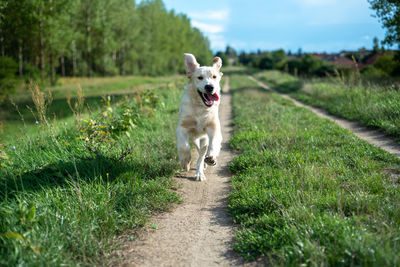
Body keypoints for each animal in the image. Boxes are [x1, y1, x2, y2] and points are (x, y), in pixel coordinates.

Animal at [177, 52, 223, 182]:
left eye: (214, 77)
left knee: (202, 154)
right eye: (200, 77)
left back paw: (200, 172)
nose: (209, 87)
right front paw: (185, 161)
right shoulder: (182, 127)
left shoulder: (213, 126)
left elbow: (213, 143)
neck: (200, 108)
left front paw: (211, 157)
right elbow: (184, 146)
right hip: (195, 137)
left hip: (204, 138)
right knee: (197, 150)